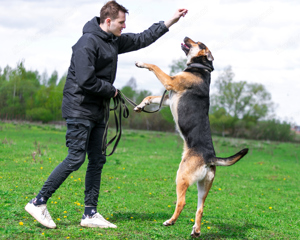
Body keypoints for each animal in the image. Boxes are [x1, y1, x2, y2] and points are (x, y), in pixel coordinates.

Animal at [134, 36, 248, 237]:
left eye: (199, 43)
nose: (185, 37)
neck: (200, 67)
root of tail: (210, 157)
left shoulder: (170, 82)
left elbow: (155, 66)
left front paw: (141, 63)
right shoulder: (169, 98)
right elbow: (150, 97)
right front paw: (140, 106)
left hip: (181, 176)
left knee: (182, 202)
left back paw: (170, 221)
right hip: (204, 186)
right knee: (200, 208)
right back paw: (196, 231)